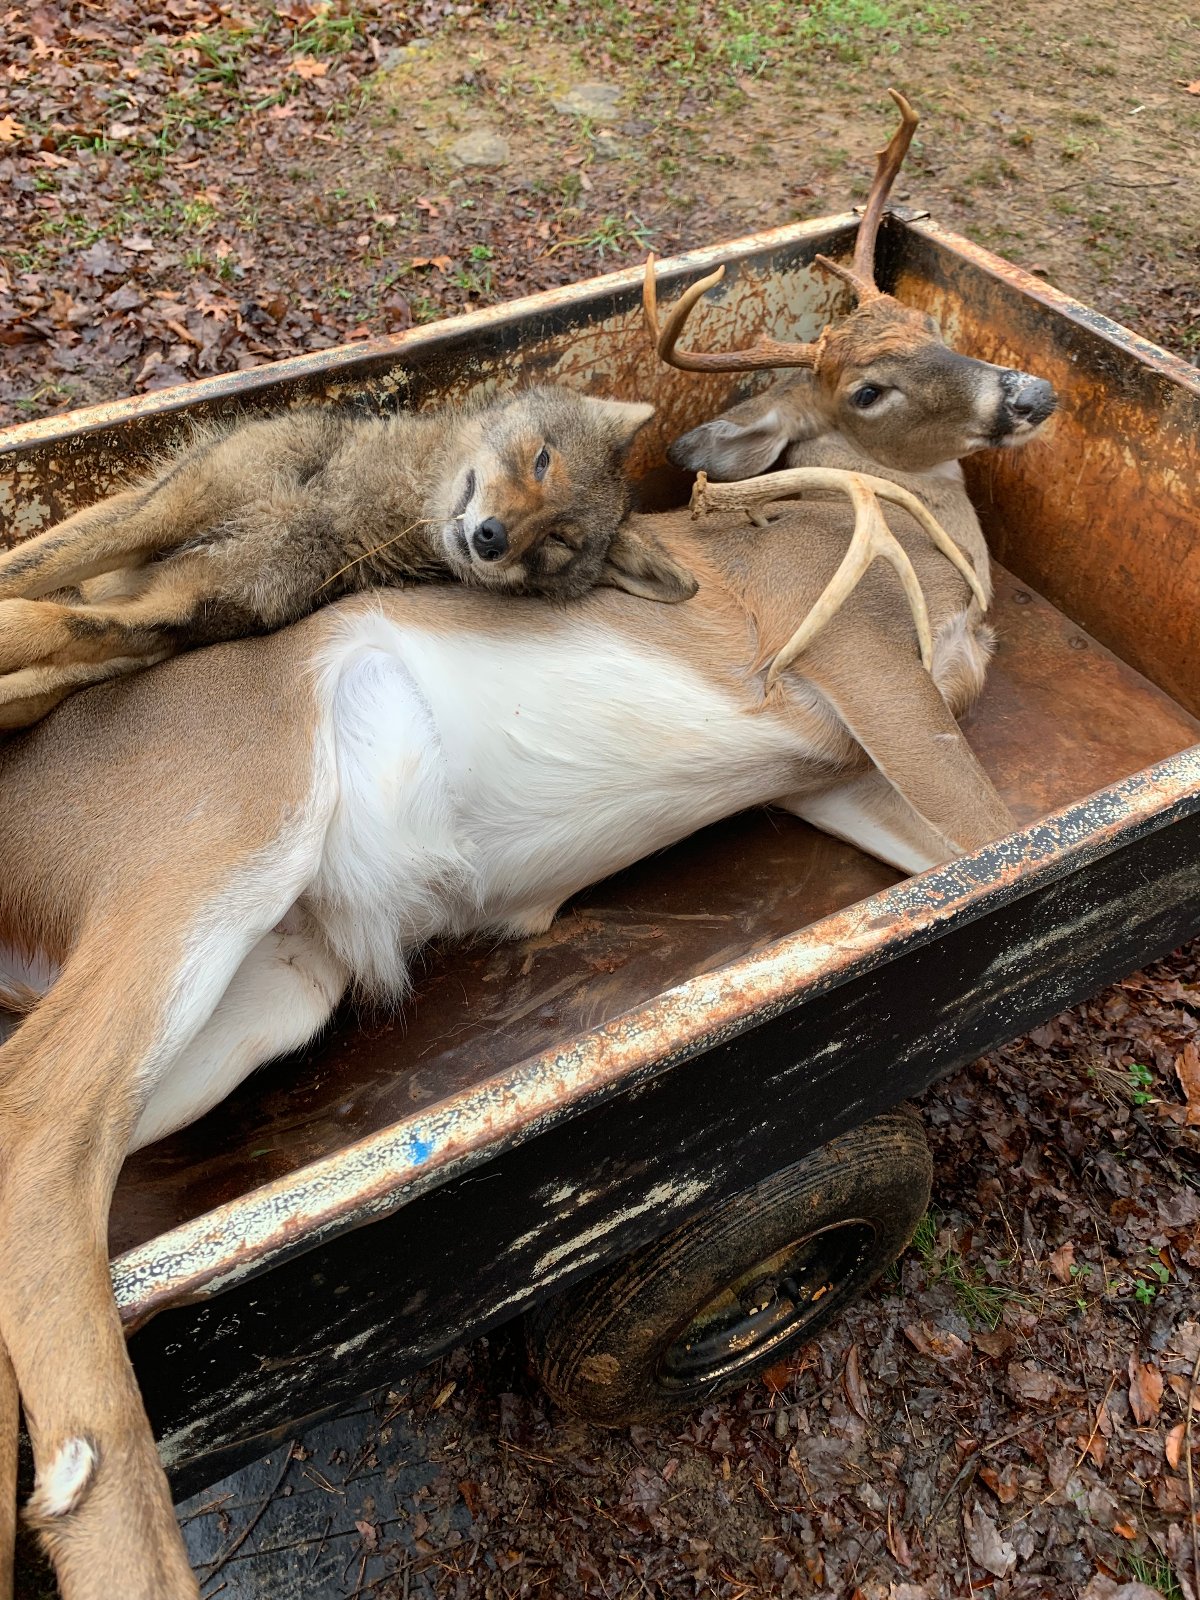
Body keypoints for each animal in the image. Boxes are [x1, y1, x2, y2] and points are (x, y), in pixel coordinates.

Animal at [0, 90, 1056, 1599]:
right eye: (869, 387)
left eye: (943, 334)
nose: (1028, 397)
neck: (923, 555)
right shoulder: (855, 661)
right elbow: (1009, 835)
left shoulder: (833, 772)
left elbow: (952, 859)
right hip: (219, 823)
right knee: (42, 1133)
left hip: (276, 984)